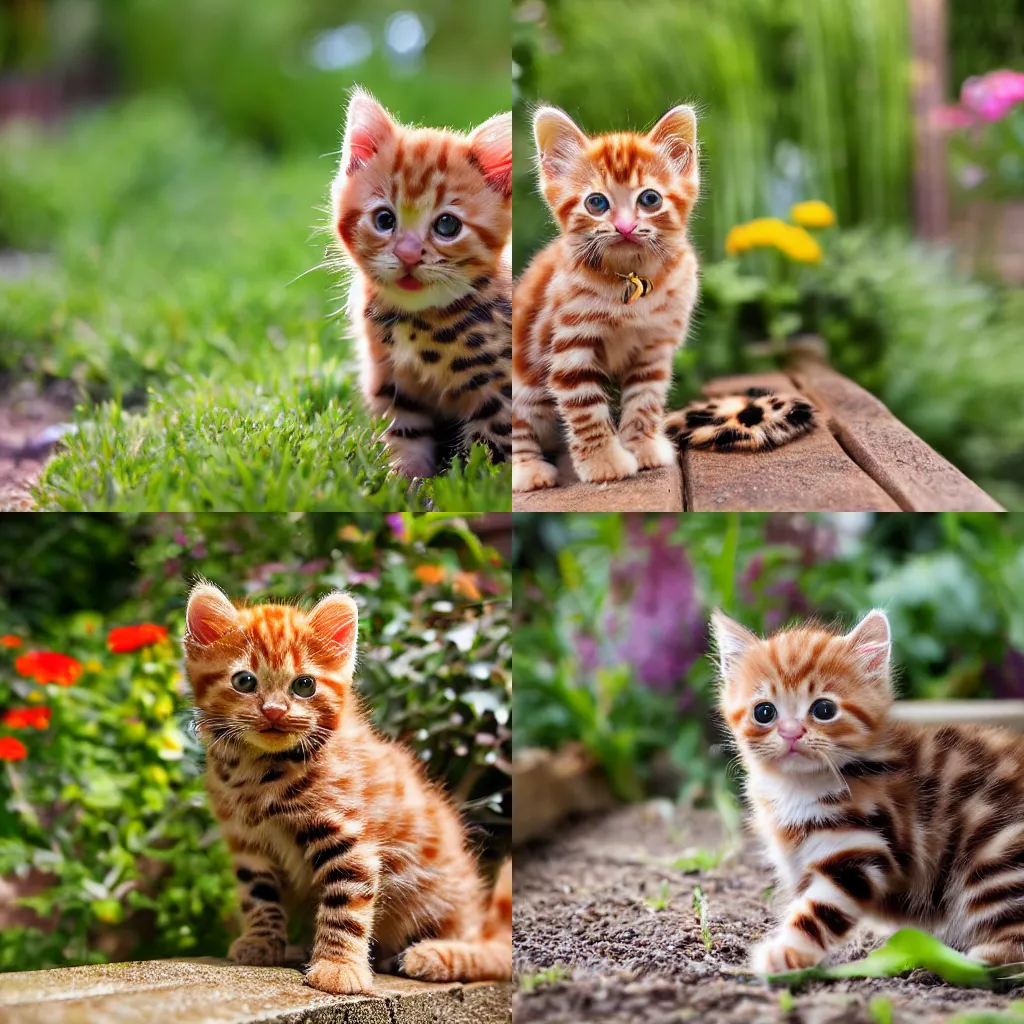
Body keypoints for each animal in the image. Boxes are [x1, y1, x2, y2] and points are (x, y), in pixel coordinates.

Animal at [185, 585, 512, 991]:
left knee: (489, 953)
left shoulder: (349, 838)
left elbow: (345, 907)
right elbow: (258, 895)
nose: (274, 711)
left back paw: (433, 955)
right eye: (244, 681)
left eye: (304, 685)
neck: (259, 772)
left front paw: (337, 968)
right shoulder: (248, 843)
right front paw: (262, 942)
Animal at [333, 86, 512, 477]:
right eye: (384, 219)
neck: (418, 320)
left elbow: (491, 449)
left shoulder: (500, 388)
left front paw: (475, 485)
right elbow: (405, 434)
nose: (408, 254)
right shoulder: (391, 380)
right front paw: (406, 481)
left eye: (447, 225)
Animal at [512, 105, 704, 489]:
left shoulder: (655, 346)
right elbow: (586, 409)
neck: (632, 281)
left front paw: (642, 447)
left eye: (650, 199)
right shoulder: (571, 348)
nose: (625, 227)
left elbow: (644, 400)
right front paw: (604, 463)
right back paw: (528, 469)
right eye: (596, 203)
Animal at [716, 606, 1024, 974]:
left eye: (823, 709)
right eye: (764, 712)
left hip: (996, 857)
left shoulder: (859, 851)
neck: (797, 789)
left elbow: (818, 913)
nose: (791, 732)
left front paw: (786, 953)